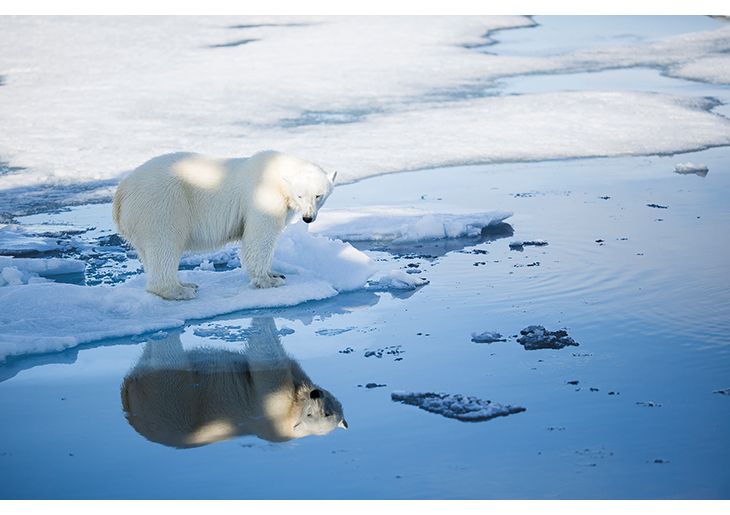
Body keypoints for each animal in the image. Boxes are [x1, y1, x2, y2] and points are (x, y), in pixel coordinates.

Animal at [111, 151, 336, 300]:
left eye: (318, 195)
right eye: (300, 195)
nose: (307, 218)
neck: (276, 172)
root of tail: (121, 192)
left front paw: (275, 273)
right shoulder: (262, 196)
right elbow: (260, 237)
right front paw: (269, 281)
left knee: (149, 253)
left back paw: (185, 283)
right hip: (161, 205)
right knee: (165, 245)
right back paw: (181, 290)